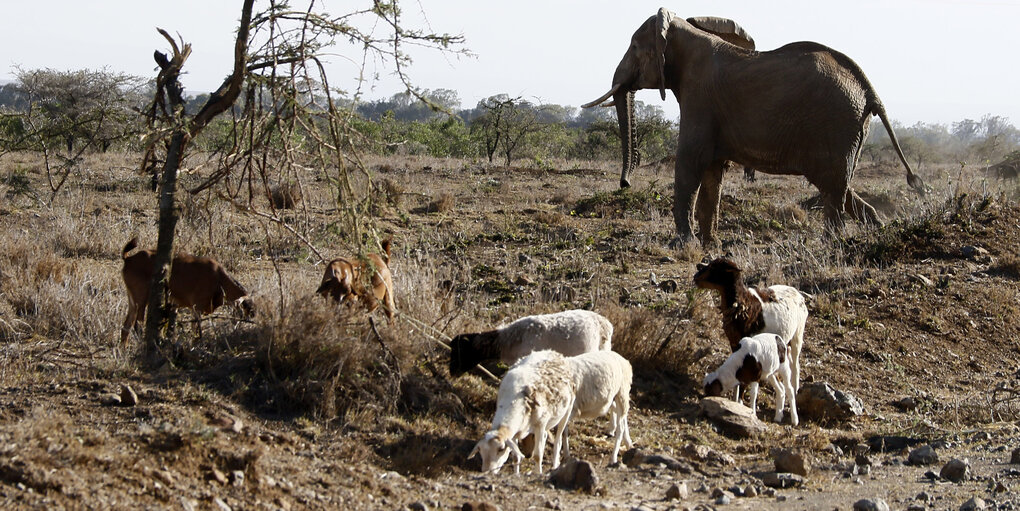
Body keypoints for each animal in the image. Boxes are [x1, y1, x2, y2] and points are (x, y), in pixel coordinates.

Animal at [583, 7, 926, 246]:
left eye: (634, 47)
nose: (625, 184)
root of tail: (869, 89)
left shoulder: (700, 99)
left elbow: (690, 162)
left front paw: (683, 244)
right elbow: (713, 172)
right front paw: (710, 244)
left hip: (836, 124)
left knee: (833, 186)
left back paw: (833, 243)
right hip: (850, 130)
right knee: (839, 185)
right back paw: (876, 230)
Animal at [689, 257, 807, 391]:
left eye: (715, 268)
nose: (696, 277)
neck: (742, 305)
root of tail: (798, 293)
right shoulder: (734, 342)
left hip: (798, 333)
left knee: (796, 364)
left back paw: (795, 387)